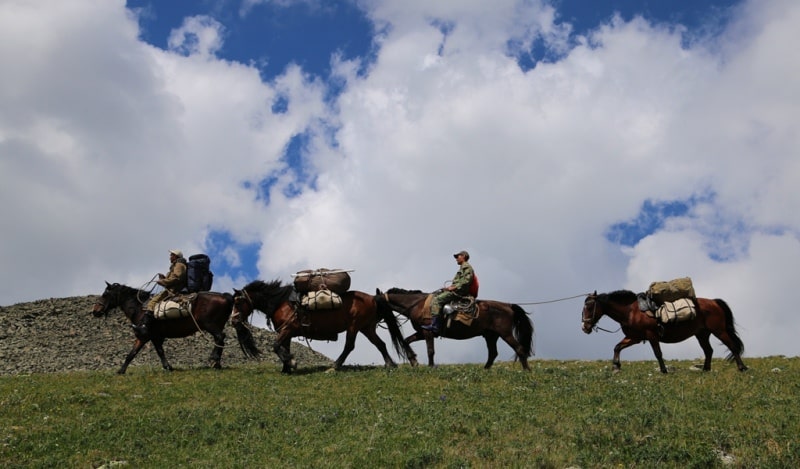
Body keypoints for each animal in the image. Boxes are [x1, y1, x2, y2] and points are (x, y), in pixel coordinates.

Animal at [92, 280, 258, 374]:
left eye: (105, 294)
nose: (95, 311)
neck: (140, 308)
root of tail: (225, 296)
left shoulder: (144, 335)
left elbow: (133, 353)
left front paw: (121, 371)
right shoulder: (155, 337)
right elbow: (156, 352)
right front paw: (168, 367)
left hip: (210, 325)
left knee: (220, 337)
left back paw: (214, 361)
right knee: (220, 339)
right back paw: (215, 362)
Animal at [230, 278, 412, 372]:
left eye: (238, 302)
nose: (233, 321)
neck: (280, 303)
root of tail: (373, 298)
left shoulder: (287, 329)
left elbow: (275, 346)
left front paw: (292, 363)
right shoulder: (286, 332)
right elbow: (283, 348)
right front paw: (286, 368)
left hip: (354, 327)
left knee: (349, 346)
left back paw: (335, 366)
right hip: (366, 327)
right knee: (380, 344)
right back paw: (390, 364)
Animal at [376, 286, 536, 370]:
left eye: (375, 303)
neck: (418, 304)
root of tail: (508, 306)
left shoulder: (428, 332)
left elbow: (430, 350)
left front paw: (431, 367)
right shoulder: (421, 332)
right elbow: (407, 340)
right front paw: (413, 360)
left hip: (505, 334)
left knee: (519, 348)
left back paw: (526, 370)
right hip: (491, 336)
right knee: (493, 353)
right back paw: (485, 369)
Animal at [580, 288, 744, 372]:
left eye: (589, 306)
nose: (584, 327)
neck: (631, 312)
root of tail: (714, 302)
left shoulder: (651, 335)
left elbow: (658, 353)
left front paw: (664, 370)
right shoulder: (635, 338)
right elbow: (617, 347)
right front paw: (616, 366)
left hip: (719, 331)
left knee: (732, 346)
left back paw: (742, 367)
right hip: (702, 334)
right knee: (708, 350)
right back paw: (705, 369)